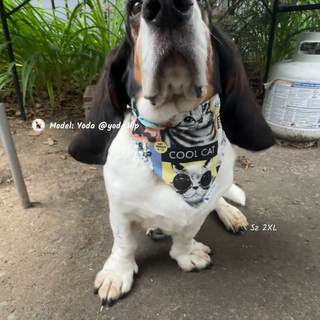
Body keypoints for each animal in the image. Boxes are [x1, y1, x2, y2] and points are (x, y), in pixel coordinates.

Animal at [69, 0, 274, 308]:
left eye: (205, 5)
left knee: (219, 199)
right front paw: (117, 274)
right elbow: (124, 243)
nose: (167, 8)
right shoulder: (120, 211)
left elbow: (187, 233)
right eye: (134, 8)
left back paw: (230, 213)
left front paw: (186, 254)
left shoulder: (198, 209)